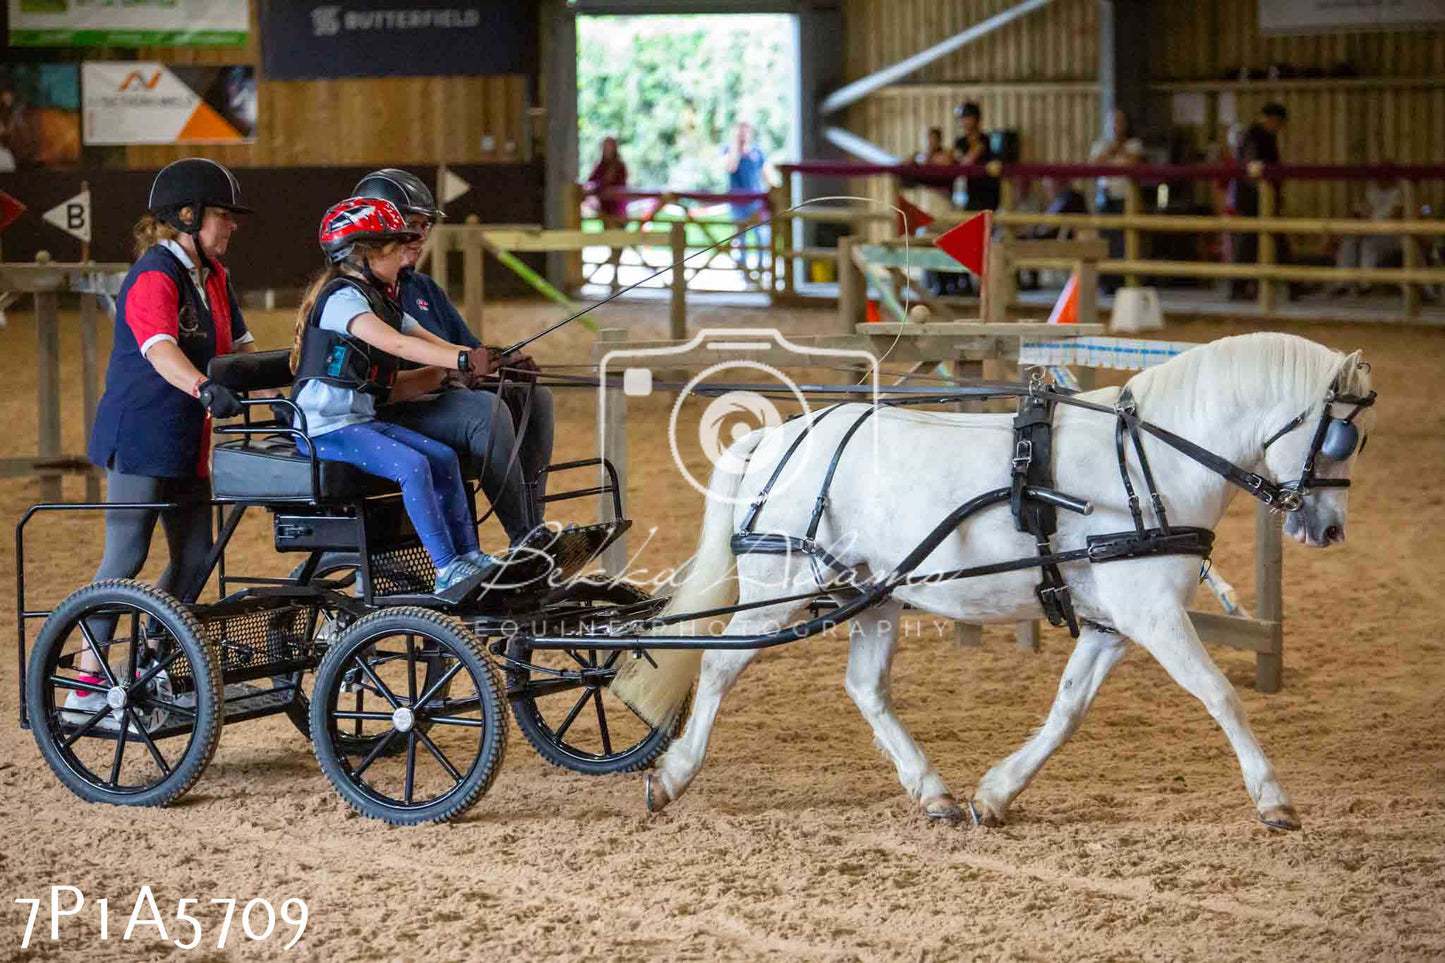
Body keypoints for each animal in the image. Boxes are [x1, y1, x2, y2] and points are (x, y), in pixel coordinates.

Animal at [609, 329, 1375, 827]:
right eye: (1342, 436)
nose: (1332, 529)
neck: (1148, 458)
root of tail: (777, 436)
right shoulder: (1152, 615)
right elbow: (1220, 694)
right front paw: (1273, 798)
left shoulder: (1111, 623)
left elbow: (1067, 711)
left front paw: (997, 794)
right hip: (777, 591)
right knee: (717, 665)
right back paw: (672, 776)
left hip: (871, 593)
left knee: (865, 688)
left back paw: (933, 793)